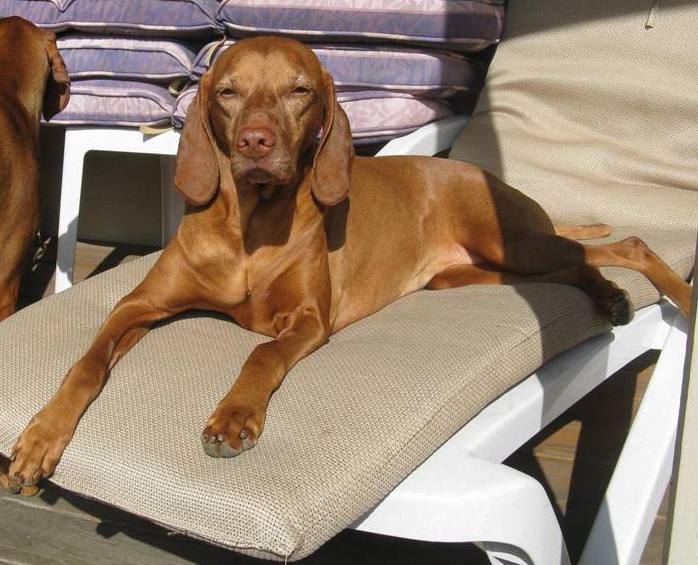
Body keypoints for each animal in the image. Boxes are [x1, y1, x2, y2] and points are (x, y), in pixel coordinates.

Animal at [1, 35, 692, 494]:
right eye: (227, 92)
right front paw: (41, 435)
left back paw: (661, 296)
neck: (250, 225)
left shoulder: (311, 319)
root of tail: (480, 171)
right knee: (574, 265)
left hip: (513, 244)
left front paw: (234, 417)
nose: (255, 142)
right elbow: (87, 364)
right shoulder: (139, 304)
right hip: (478, 271)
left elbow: (262, 354)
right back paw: (610, 298)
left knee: (624, 245)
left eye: (299, 91)